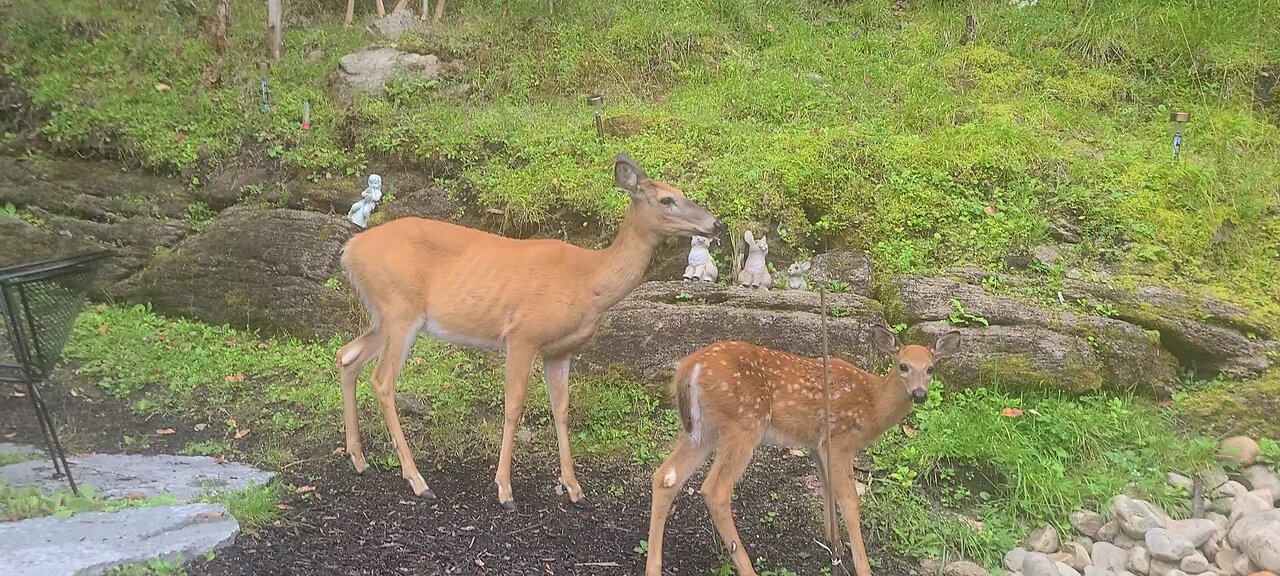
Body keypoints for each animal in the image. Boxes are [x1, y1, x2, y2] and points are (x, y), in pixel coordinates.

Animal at [335, 151, 727, 509]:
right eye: (666, 199)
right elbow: (513, 405)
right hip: (399, 309)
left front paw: (574, 488)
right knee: (382, 380)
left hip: (385, 316)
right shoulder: (522, 334)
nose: (716, 224)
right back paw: (418, 481)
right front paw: (505, 490)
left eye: (681, 191)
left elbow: (562, 409)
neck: (587, 281)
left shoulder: (560, 349)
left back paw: (360, 460)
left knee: (347, 356)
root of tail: (349, 250)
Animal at [650, 326, 962, 573]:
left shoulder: (817, 445)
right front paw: (862, 566)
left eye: (931, 368)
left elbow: (826, 488)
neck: (872, 403)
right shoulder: (839, 440)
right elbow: (850, 500)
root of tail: (689, 366)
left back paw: (653, 567)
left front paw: (835, 547)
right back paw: (747, 568)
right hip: (744, 422)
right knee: (716, 490)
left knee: (665, 476)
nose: (919, 394)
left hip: (704, 430)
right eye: (903, 366)